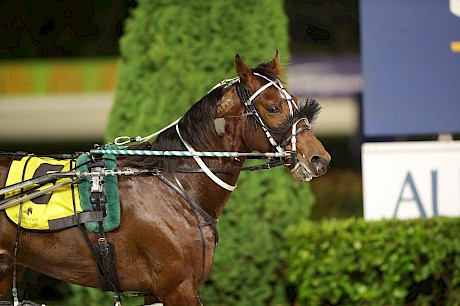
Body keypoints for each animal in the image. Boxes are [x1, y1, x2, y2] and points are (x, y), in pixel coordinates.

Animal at [0, 51, 330, 304]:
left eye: (295, 101)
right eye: (273, 107)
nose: (319, 159)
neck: (177, 186)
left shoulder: (157, 291)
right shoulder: (177, 287)